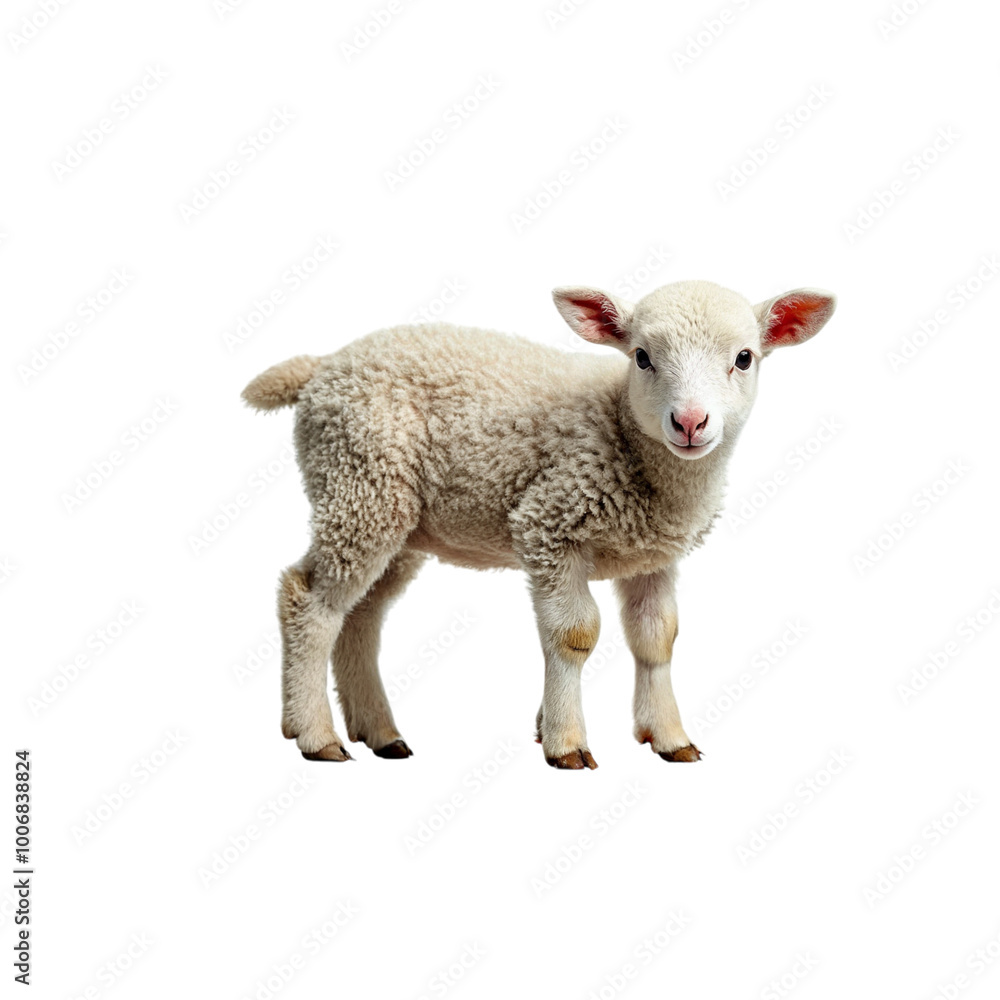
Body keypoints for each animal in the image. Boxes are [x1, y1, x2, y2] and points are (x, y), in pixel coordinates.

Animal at [242, 280, 835, 768]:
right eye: (642, 357)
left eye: (744, 358)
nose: (690, 422)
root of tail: (322, 367)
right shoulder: (550, 522)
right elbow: (574, 635)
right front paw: (566, 742)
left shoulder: (652, 555)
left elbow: (657, 639)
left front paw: (669, 737)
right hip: (359, 483)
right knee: (309, 600)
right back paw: (315, 734)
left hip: (397, 518)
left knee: (361, 615)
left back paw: (380, 733)